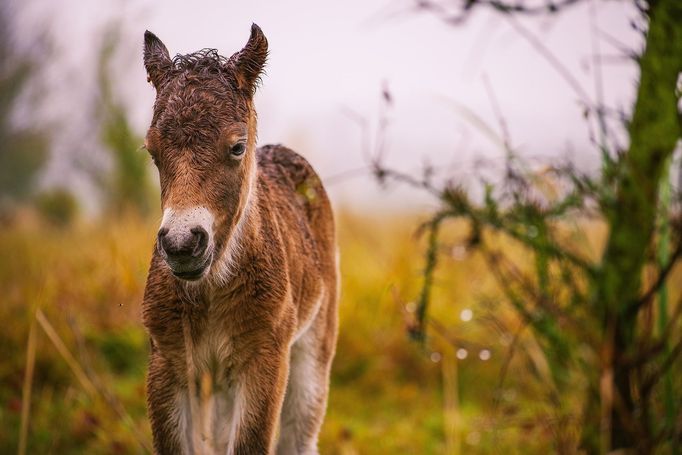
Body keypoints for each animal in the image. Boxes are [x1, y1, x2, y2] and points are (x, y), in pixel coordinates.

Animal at [140, 25, 338, 455]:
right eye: (152, 152)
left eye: (236, 146)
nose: (182, 245)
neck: (210, 288)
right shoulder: (167, 360)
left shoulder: (265, 357)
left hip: (313, 348)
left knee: (299, 434)